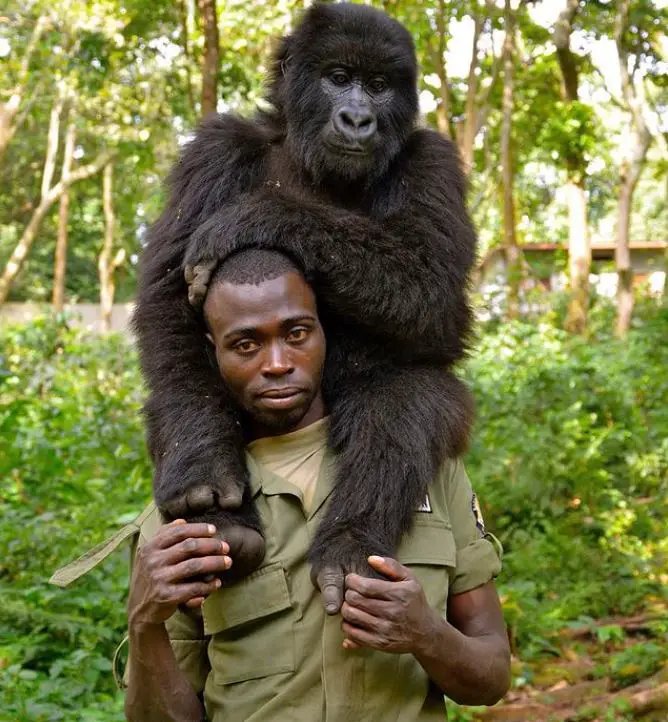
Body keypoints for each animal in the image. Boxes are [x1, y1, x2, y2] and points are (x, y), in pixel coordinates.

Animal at [132, 2, 474, 604]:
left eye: (378, 86)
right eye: (338, 78)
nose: (357, 119)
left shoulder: (433, 160)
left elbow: (434, 293)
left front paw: (259, 216)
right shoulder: (216, 147)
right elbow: (168, 297)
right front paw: (201, 463)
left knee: (405, 401)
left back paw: (351, 544)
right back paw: (224, 521)